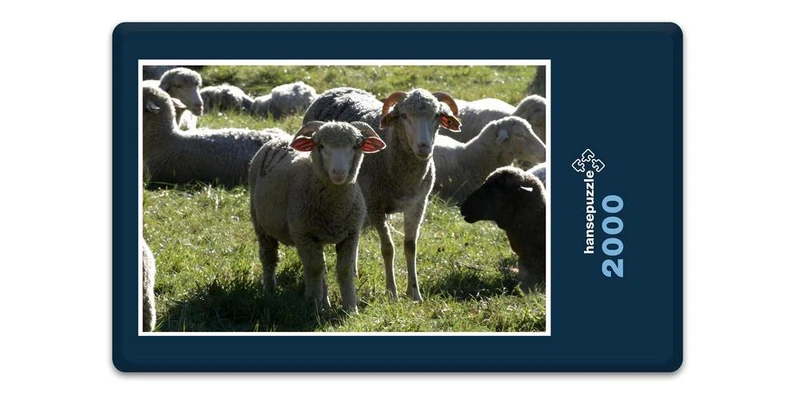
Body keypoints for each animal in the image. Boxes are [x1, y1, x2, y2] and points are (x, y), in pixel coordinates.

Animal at [249, 120, 387, 312]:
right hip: (261, 224)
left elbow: (344, 269)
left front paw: (351, 308)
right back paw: (270, 292)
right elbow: (314, 269)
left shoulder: (351, 234)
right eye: (321, 146)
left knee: (322, 267)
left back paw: (325, 304)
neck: (334, 208)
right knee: (269, 258)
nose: (338, 172)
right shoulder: (303, 234)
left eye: (355, 146)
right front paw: (313, 307)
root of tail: (278, 139)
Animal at [303, 87, 462, 301]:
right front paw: (392, 292)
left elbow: (410, 246)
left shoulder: (418, 203)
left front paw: (414, 293)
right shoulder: (375, 205)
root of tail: (335, 90)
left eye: (437, 115)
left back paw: (353, 270)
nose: (424, 147)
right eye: (404, 116)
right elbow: (388, 248)